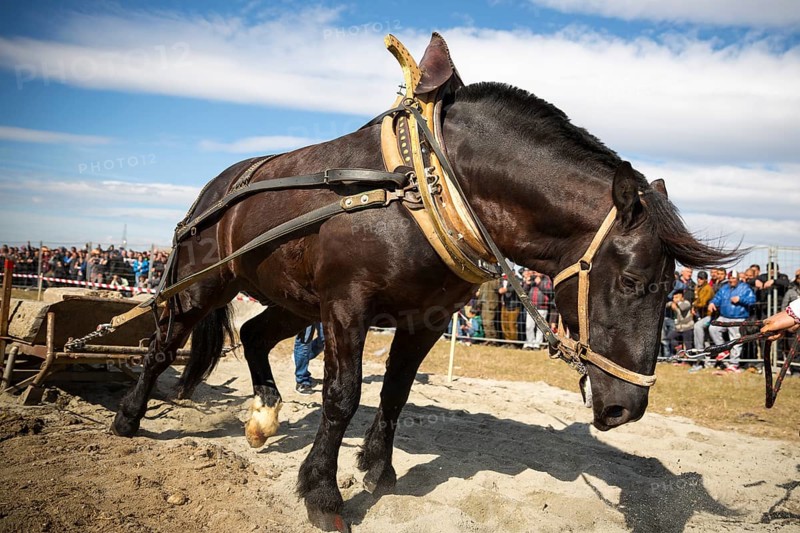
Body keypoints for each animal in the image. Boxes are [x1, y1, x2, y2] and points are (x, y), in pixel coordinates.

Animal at [109, 35, 739, 532]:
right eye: (632, 281)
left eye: (673, 288)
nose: (627, 407)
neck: (425, 184)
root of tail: (215, 191)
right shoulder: (347, 308)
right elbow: (342, 397)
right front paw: (323, 494)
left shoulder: (425, 319)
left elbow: (395, 393)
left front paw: (379, 469)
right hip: (201, 287)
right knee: (163, 344)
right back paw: (128, 417)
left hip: (293, 299)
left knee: (257, 335)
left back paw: (264, 414)